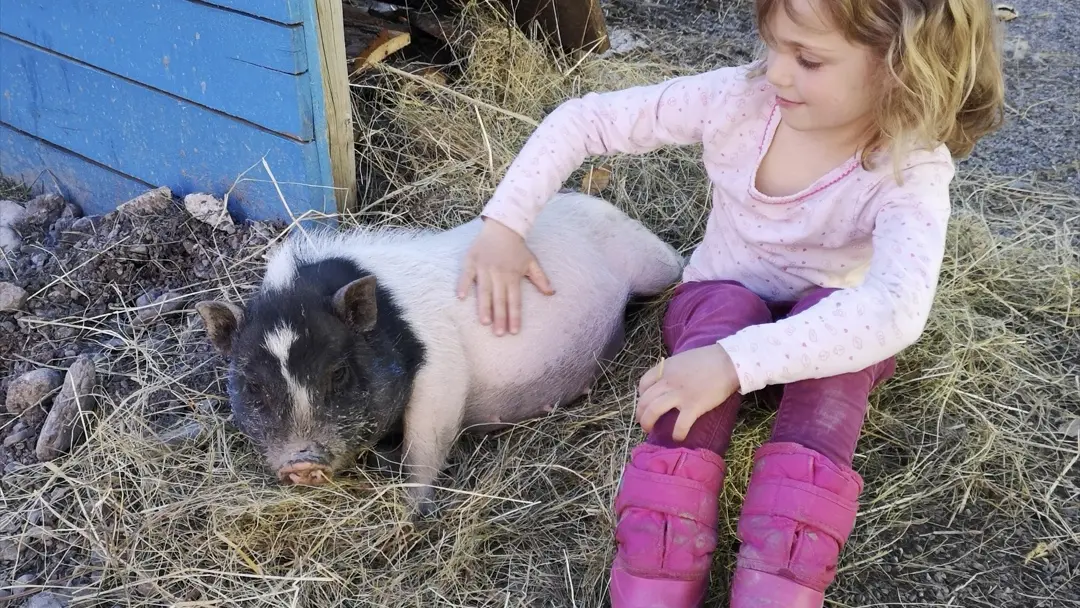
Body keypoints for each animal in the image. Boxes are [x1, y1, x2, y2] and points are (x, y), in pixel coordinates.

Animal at [195, 191, 684, 516]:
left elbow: (426, 441)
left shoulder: (443, 369)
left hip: (650, 260)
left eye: (338, 373)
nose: (302, 462)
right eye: (252, 386)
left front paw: (413, 512)